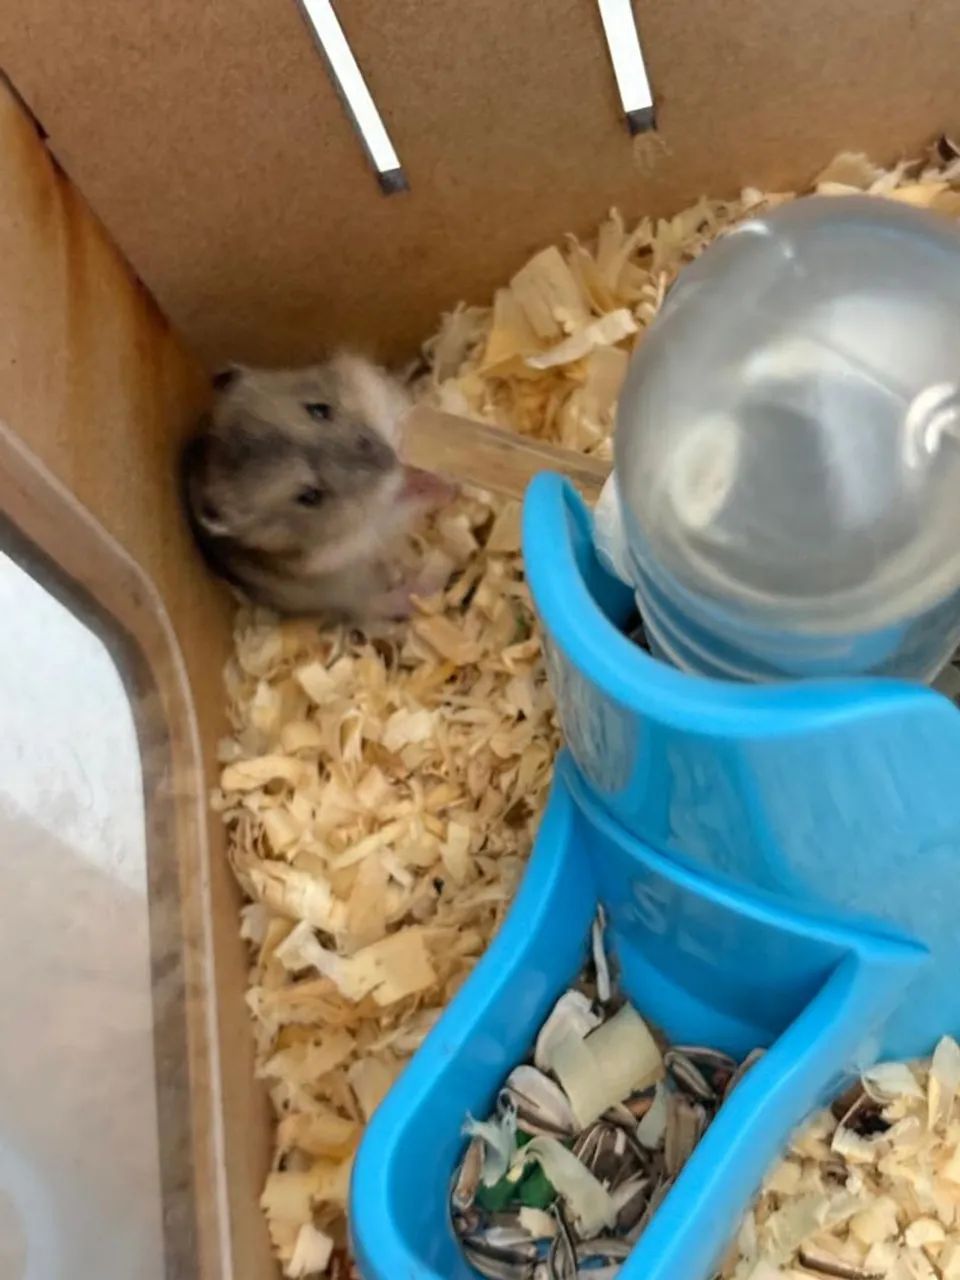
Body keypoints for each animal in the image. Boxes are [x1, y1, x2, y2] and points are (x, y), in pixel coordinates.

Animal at [180, 353, 454, 620]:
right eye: (309, 497)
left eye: (319, 410)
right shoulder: (358, 540)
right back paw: (428, 584)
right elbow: (402, 506)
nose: (391, 461)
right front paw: (443, 487)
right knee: (379, 605)